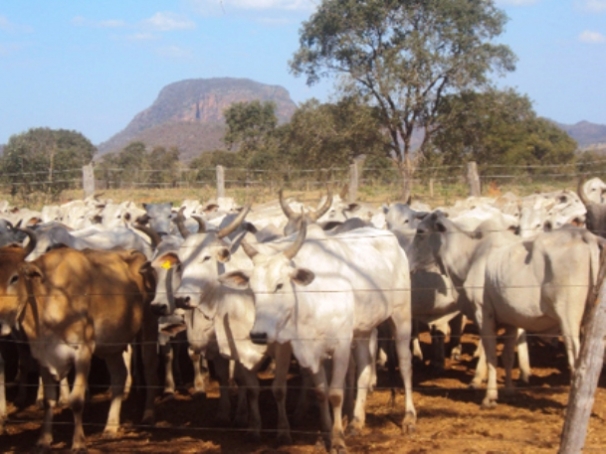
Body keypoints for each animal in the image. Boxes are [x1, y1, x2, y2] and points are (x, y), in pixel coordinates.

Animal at [0, 234, 159, 454]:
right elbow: (49, 400)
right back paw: (111, 426)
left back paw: (148, 414)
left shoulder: (82, 351)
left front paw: (78, 443)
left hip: (148, 327)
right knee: (119, 375)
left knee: (150, 369)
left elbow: (76, 400)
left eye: (14, 277)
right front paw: (44, 439)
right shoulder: (42, 355)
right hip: (111, 347)